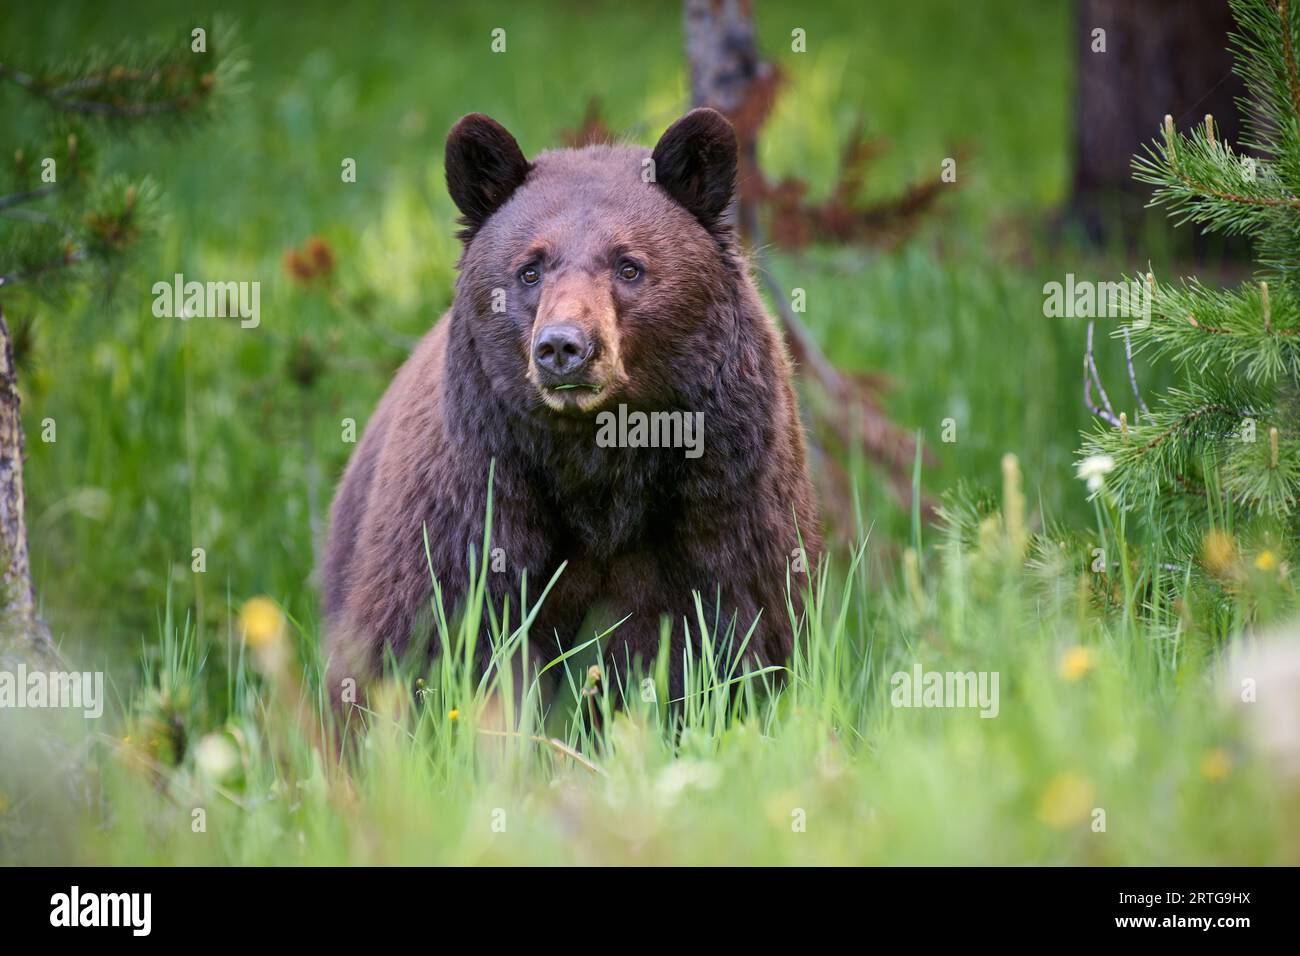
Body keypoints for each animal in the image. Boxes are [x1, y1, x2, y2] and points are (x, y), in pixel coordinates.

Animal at [322, 107, 821, 705]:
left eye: (628, 266)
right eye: (529, 269)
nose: (563, 347)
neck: (596, 459)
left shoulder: (727, 493)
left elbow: (740, 628)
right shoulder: (476, 496)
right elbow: (423, 637)